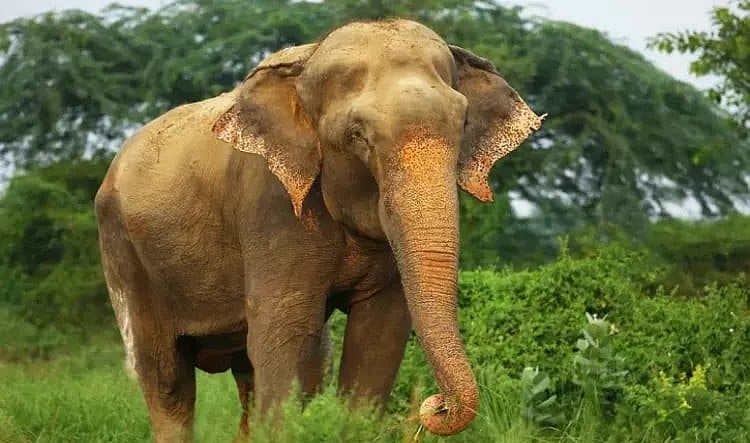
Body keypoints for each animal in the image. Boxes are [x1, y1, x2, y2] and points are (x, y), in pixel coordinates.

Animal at [94, 18, 543, 442]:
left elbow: (378, 334)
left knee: (259, 372)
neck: (306, 65)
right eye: (357, 135)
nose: (434, 405)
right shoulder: (270, 203)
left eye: (463, 123)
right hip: (124, 256)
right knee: (167, 379)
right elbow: (286, 334)